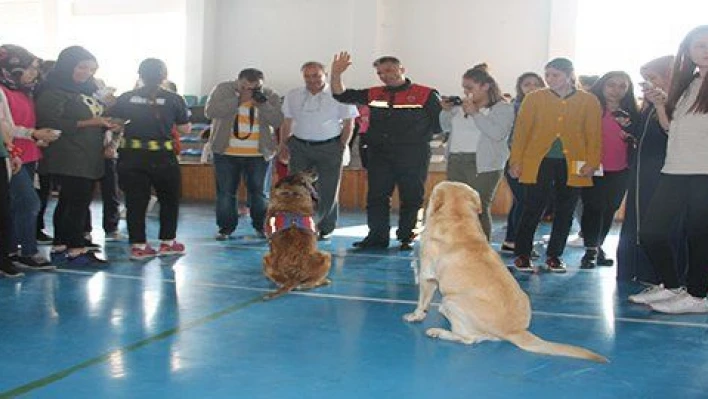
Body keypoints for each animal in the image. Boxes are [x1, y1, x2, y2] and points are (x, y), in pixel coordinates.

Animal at [262, 171, 332, 300]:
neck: (291, 192)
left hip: (266, 258)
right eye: (307, 172)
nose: (315, 172)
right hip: (326, 255)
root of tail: (294, 276)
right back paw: (324, 281)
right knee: (312, 283)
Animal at [406, 183, 604, 364]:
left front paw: (415, 316)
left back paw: (438, 332)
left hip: (450, 301)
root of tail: (514, 331)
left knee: (468, 339)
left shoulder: (427, 277)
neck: (459, 218)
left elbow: (422, 302)